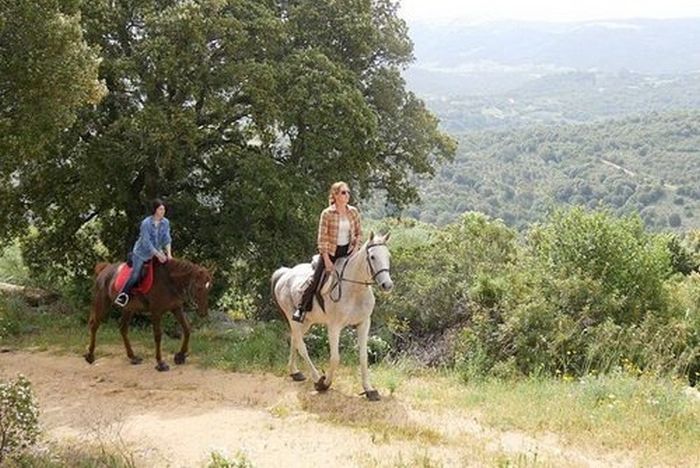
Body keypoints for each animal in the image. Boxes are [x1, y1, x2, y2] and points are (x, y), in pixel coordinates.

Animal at [84, 258, 213, 372]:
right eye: (198, 287)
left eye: (209, 287)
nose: (203, 313)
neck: (169, 281)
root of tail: (104, 269)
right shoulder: (156, 312)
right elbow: (158, 336)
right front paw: (161, 364)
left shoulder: (176, 308)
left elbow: (187, 329)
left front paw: (180, 356)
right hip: (102, 303)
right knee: (94, 325)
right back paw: (90, 355)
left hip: (128, 309)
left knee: (123, 329)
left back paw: (133, 357)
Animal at [270, 232, 392, 400]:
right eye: (372, 257)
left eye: (388, 255)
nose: (387, 285)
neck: (354, 290)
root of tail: (285, 274)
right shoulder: (334, 327)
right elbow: (335, 358)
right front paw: (326, 383)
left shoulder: (364, 323)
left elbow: (363, 357)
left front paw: (369, 389)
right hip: (292, 317)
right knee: (302, 346)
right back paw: (317, 379)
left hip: (306, 321)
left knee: (295, 339)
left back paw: (295, 372)